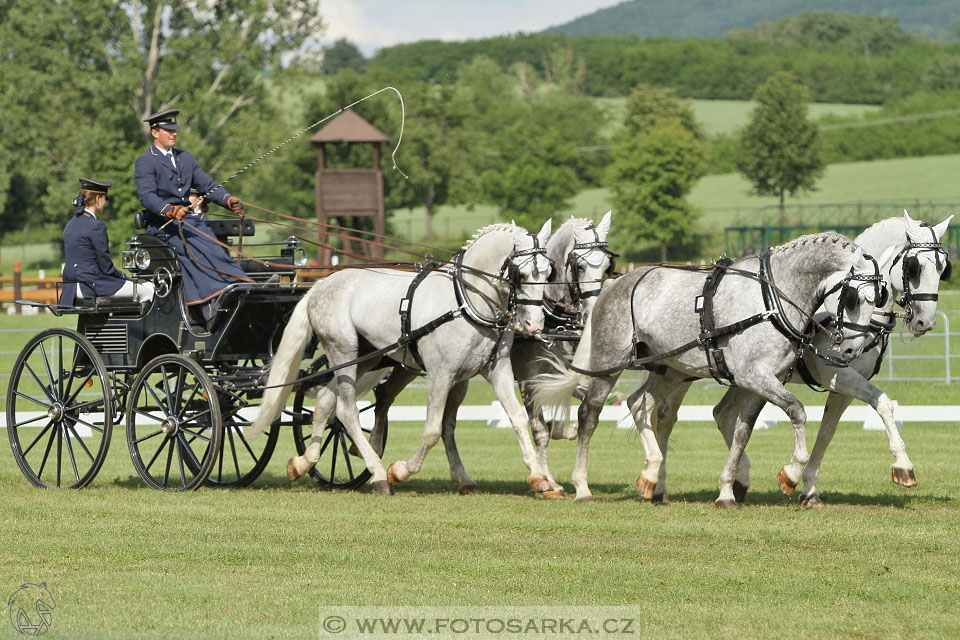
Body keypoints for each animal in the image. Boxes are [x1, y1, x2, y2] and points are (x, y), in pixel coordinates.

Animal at [248, 222, 556, 498]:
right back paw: (378, 475)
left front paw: (540, 478)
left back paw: (303, 463)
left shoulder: (496, 370)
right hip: (343, 350)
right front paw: (399, 471)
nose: (535, 325)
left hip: (363, 358)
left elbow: (517, 417)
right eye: (520, 273)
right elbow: (432, 430)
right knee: (346, 411)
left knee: (325, 400)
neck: (465, 302)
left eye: (548, 273)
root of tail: (321, 284)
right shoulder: (441, 375)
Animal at [532, 232, 884, 508]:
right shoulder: (752, 376)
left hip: (669, 367)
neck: (773, 298)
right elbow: (797, 411)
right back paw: (582, 486)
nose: (851, 350)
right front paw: (791, 474)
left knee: (639, 404)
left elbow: (742, 431)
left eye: (879, 298)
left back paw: (650, 477)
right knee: (589, 414)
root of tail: (614, 283)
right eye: (853, 298)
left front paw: (728, 490)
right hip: (609, 363)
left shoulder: (764, 379)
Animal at [644, 212, 952, 508]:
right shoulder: (837, 375)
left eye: (942, 268)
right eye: (914, 267)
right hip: (683, 371)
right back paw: (658, 486)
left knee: (722, 414)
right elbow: (883, 404)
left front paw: (810, 489)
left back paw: (737, 479)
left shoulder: (843, 388)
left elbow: (830, 430)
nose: (925, 322)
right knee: (666, 416)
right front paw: (903, 466)